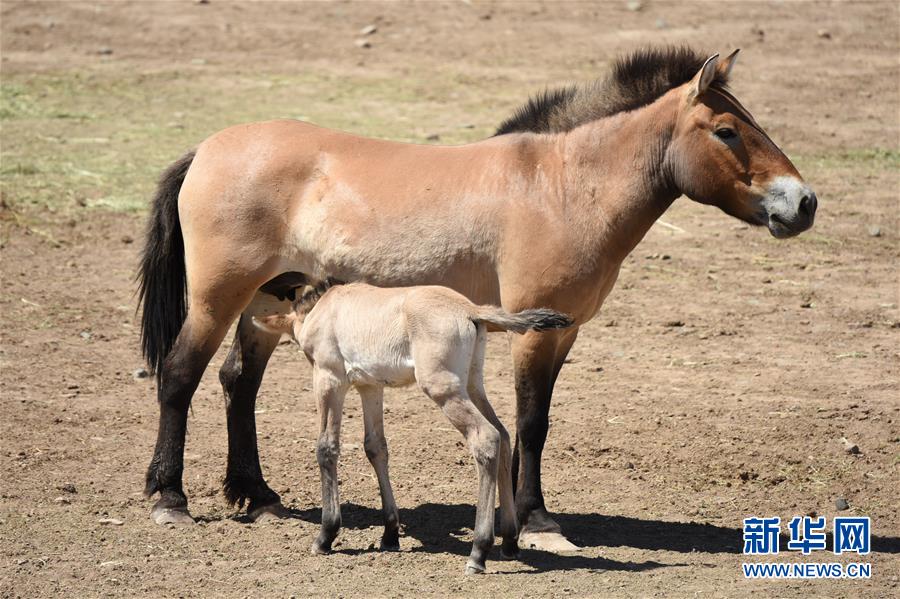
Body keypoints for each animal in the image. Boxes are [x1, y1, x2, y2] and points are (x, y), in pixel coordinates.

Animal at [254, 280, 572, 572]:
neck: (328, 307)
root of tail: (470, 309)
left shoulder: (329, 379)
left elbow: (326, 448)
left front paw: (326, 535)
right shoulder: (370, 387)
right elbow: (375, 447)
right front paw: (390, 534)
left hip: (442, 388)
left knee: (486, 437)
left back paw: (478, 552)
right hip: (471, 384)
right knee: (503, 435)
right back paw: (509, 542)